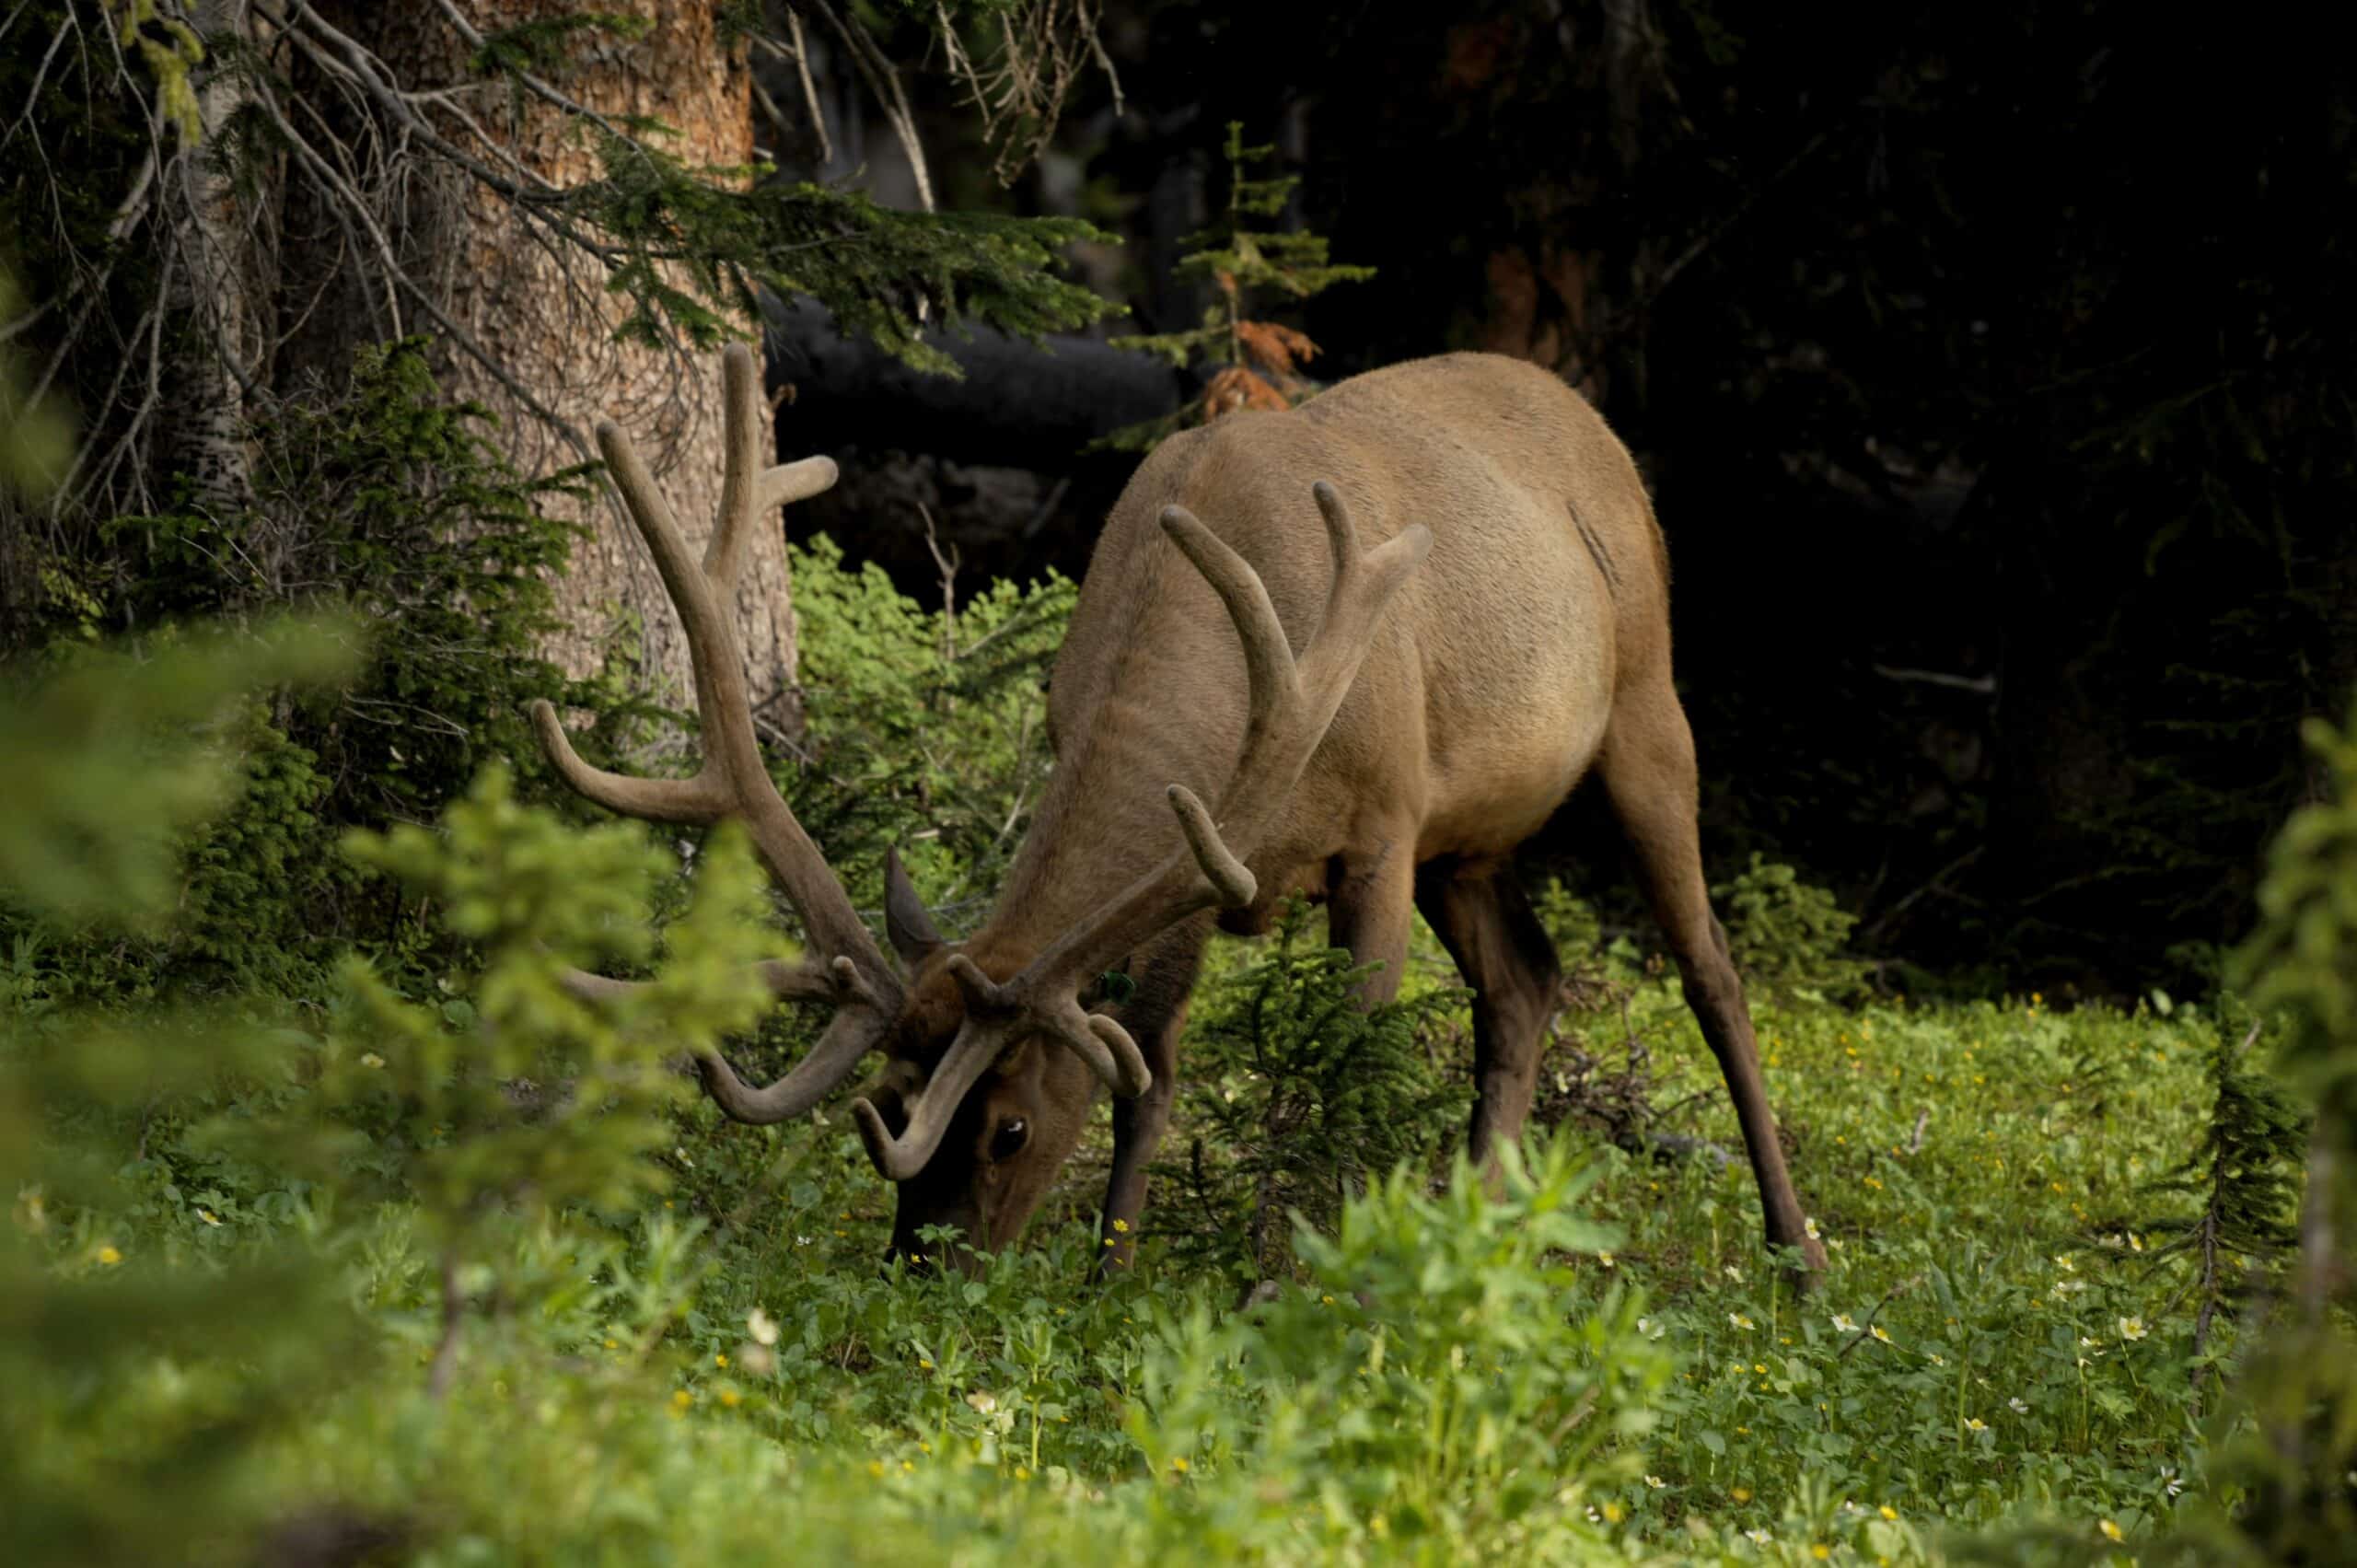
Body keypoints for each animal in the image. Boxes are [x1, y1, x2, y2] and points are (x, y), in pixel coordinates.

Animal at [535, 339, 1819, 1272]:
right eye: (891, 1101)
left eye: (1006, 1126)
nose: (922, 1264)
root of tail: (1584, 411)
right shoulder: (1207, 861)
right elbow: (1148, 1065)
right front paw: (1111, 1273)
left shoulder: (1384, 823)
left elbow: (1338, 1064)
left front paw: (1282, 1275)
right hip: (1471, 842)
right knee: (1526, 984)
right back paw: (1478, 1235)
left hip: (1645, 707)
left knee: (1711, 972)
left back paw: (1795, 1248)